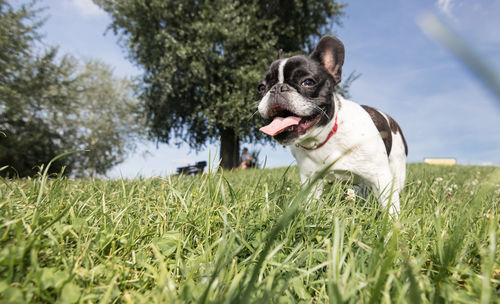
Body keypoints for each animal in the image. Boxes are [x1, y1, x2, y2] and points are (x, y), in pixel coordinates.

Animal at [258, 35, 406, 215]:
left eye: (308, 82)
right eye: (261, 87)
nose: (277, 88)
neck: (325, 138)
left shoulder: (381, 176)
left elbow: (390, 207)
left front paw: (392, 222)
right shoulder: (310, 180)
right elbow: (311, 203)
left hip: (396, 169)